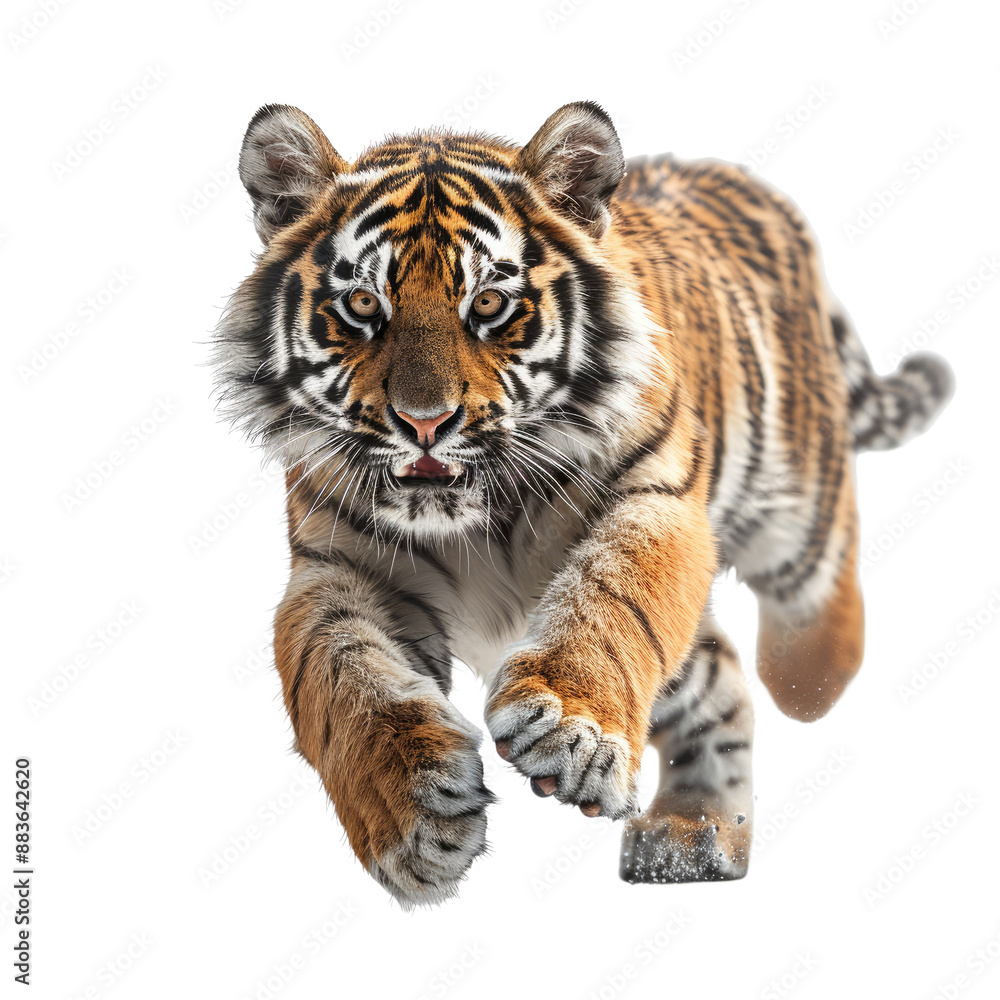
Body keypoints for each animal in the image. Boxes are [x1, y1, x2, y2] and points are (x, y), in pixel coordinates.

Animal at [211, 101, 953, 907]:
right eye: (361, 305)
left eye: (490, 304)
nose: (424, 422)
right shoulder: (337, 569)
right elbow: (343, 681)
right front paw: (411, 813)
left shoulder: (655, 499)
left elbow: (613, 601)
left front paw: (569, 729)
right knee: (720, 676)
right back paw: (694, 834)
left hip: (796, 492)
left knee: (816, 587)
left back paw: (808, 682)